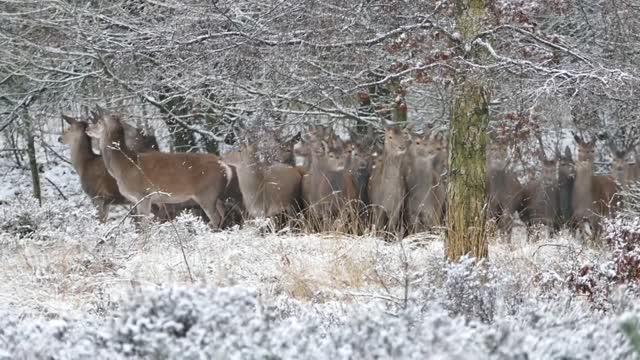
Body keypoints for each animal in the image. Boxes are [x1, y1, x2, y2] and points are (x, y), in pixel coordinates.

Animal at [85, 109, 232, 228]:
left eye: (98, 121)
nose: (87, 129)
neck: (124, 166)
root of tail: (225, 167)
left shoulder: (143, 194)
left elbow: (144, 225)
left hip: (206, 192)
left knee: (215, 217)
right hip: (215, 194)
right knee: (223, 211)